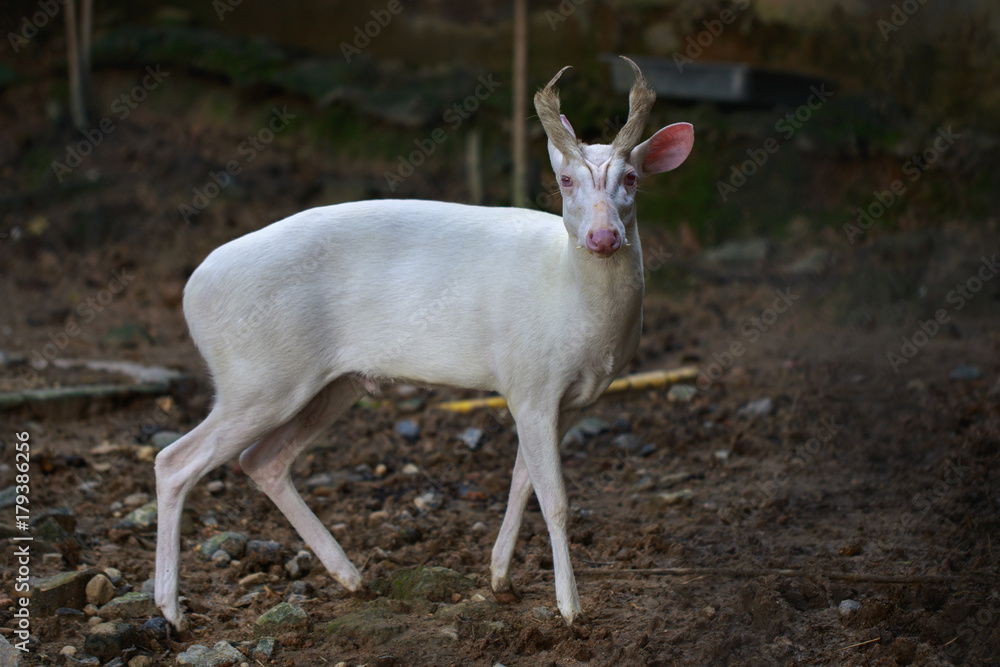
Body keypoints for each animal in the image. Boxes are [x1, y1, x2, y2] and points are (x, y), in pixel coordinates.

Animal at [154, 57, 694, 629]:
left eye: (631, 177)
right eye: (565, 180)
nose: (603, 237)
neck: (572, 305)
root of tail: (191, 292)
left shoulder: (571, 399)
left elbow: (521, 481)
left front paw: (500, 578)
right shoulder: (529, 381)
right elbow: (556, 500)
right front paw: (570, 609)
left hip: (331, 382)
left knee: (263, 460)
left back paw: (350, 576)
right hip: (257, 374)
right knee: (174, 460)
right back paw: (171, 610)